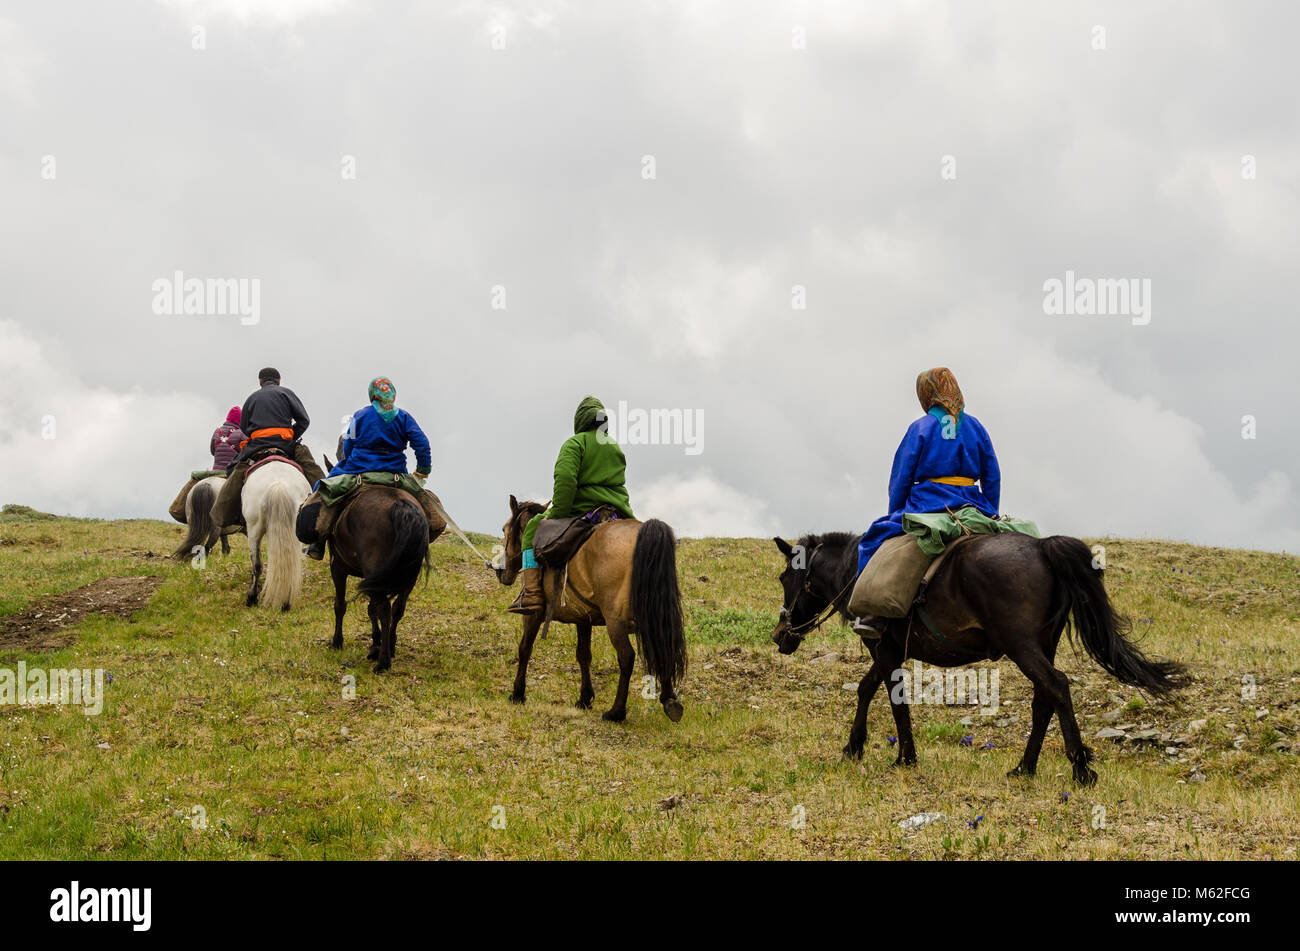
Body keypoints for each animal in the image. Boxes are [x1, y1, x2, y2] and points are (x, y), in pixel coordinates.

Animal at [493, 498, 691, 722]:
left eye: (504, 529)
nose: (502, 572)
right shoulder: (583, 618)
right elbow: (583, 655)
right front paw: (584, 698)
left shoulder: (533, 614)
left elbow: (525, 647)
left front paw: (517, 693)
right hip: (655, 617)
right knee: (662, 646)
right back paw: (670, 701)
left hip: (616, 622)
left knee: (627, 656)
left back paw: (616, 712)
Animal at [769, 530, 1190, 784]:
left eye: (785, 578)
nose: (779, 637)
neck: (856, 571)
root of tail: (1042, 547)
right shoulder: (887, 652)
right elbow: (866, 688)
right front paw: (854, 747)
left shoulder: (884, 649)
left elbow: (892, 699)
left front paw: (904, 757)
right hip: (1042, 644)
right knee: (1044, 698)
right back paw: (1024, 767)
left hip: (1021, 645)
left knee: (1056, 686)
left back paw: (1080, 768)